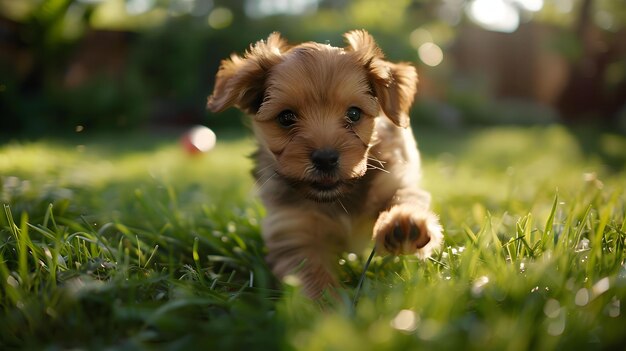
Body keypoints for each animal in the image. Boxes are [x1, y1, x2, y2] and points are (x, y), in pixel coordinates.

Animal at [207, 31, 442, 300]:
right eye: (286, 117)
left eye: (354, 114)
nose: (326, 159)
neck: (337, 197)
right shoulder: (293, 230)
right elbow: (314, 278)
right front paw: (329, 307)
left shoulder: (394, 179)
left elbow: (406, 196)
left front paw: (403, 224)